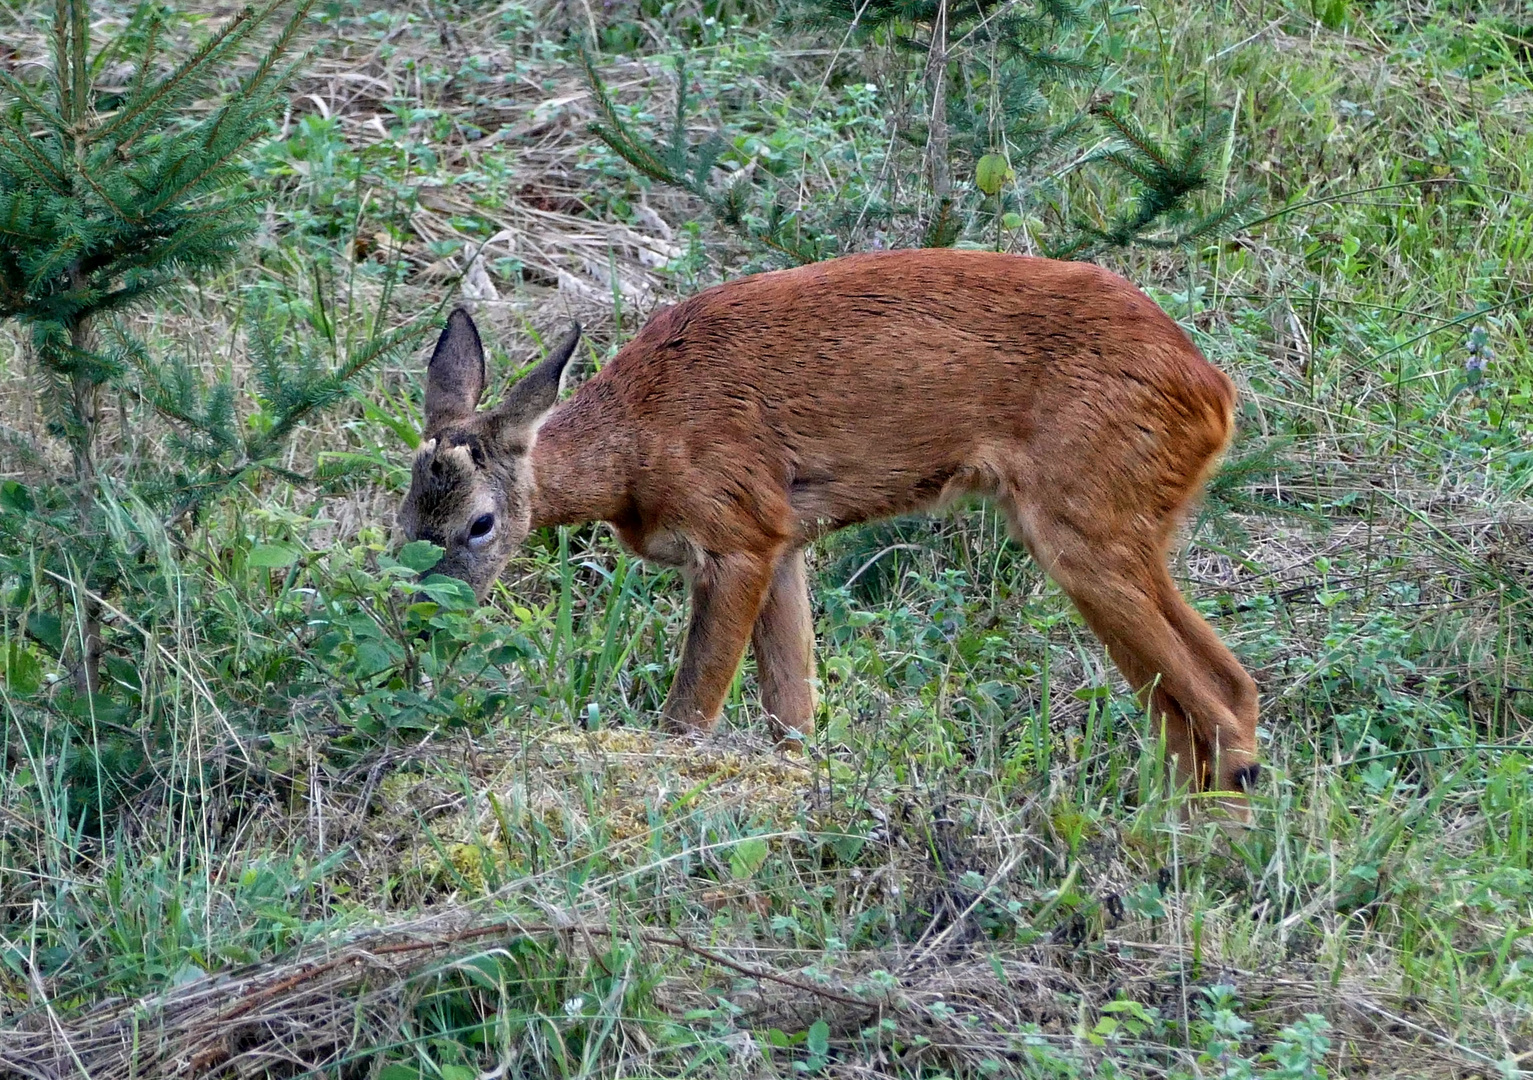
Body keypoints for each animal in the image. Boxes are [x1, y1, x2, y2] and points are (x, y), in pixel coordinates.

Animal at [401, 248, 1263, 796]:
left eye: (480, 523)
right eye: (404, 513)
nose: (420, 612)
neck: (640, 447)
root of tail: (1213, 390)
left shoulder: (736, 529)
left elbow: (689, 714)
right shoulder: (784, 541)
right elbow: (793, 715)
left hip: (1084, 519)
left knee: (1217, 703)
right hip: (1118, 523)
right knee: (1212, 695)